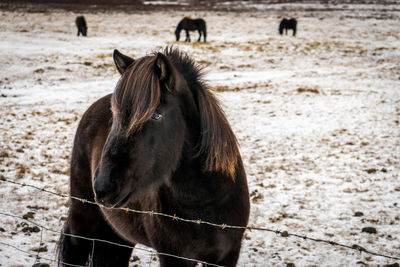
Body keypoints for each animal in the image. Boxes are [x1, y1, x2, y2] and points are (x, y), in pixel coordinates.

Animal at [56, 48, 250, 267]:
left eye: (156, 115)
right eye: (115, 117)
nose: (103, 187)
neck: (206, 203)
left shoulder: (227, 256)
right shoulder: (173, 257)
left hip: (119, 237)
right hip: (82, 220)